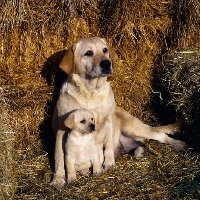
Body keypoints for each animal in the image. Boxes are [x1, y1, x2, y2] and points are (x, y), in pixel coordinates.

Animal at [50, 36, 186, 188]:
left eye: (105, 50)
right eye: (88, 53)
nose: (106, 63)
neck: (91, 92)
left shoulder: (108, 122)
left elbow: (108, 146)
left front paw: (108, 164)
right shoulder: (61, 130)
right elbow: (59, 157)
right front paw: (58, 179)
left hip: (133, 128)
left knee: (160, 135)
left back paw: (178, 144)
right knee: (141, 142)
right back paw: (139, 151)